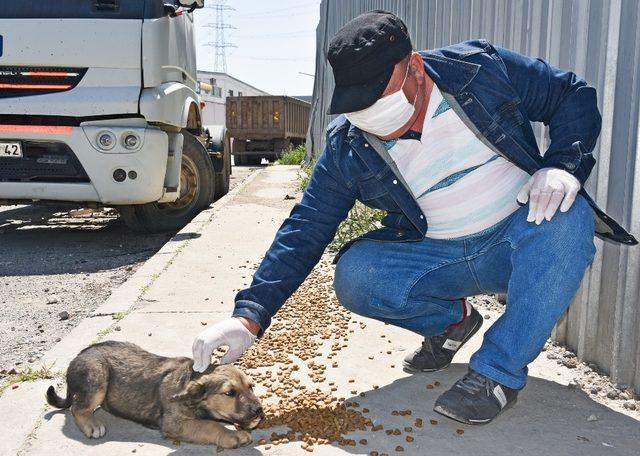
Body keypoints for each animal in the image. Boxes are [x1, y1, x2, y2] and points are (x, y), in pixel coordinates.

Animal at [46, 338, 262, 448]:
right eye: (230, 393)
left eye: (251, 387)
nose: (259, 411)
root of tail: (79, 355)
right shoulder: (174, 424)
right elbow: (210, 426)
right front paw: (233, 436)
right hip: (97, 376)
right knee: (77, 408)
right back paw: (92, 425)